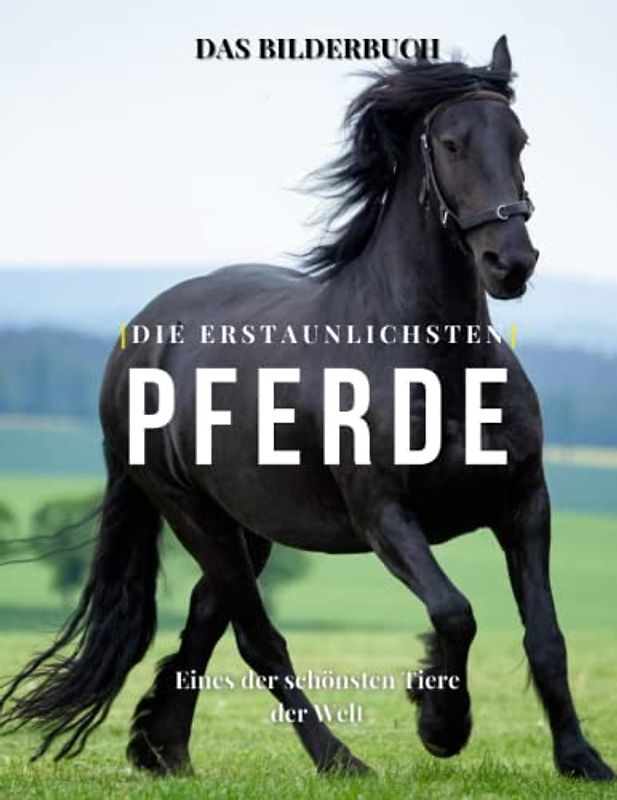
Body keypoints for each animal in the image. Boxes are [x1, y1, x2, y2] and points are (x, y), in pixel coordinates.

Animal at [1, 35, 613, 782]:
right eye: (450, 143)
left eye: (519, 139)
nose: (511, 262)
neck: (439, 366)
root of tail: (139, 336)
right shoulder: (384, 517)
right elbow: (454, 611)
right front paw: (440, 722)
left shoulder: (524, 505)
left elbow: (546, 637)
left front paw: (581, 759)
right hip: (194, 515)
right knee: (258, 640)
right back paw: (337, 759)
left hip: (250, 525)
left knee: (206, 618)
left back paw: (163, 750)